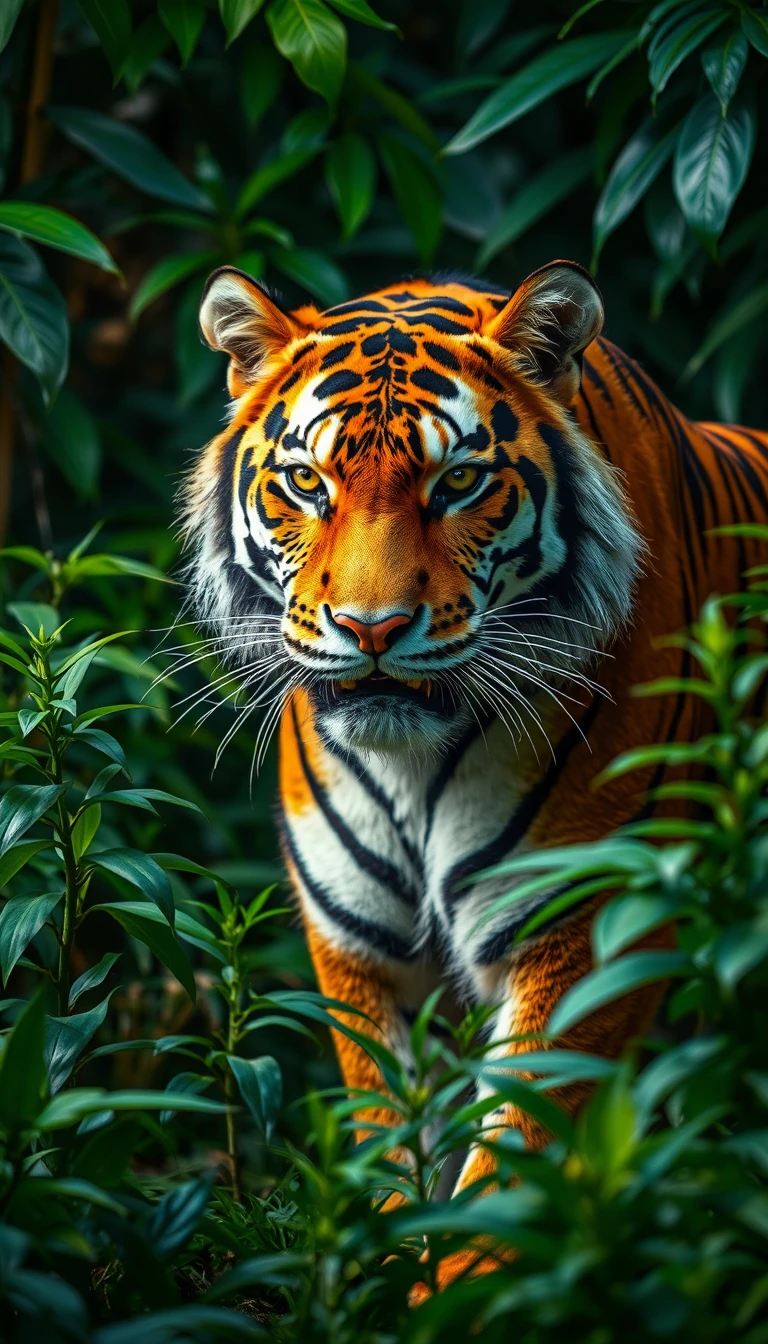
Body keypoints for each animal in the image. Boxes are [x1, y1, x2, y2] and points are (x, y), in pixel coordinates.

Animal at [184, 260, 768, 1288]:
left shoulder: (584, 930)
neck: (411, 766)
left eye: (458, 481)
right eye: (306, 481)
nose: (371, 628)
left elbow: (505, 1178)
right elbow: (391, 1144)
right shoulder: (363, 949)